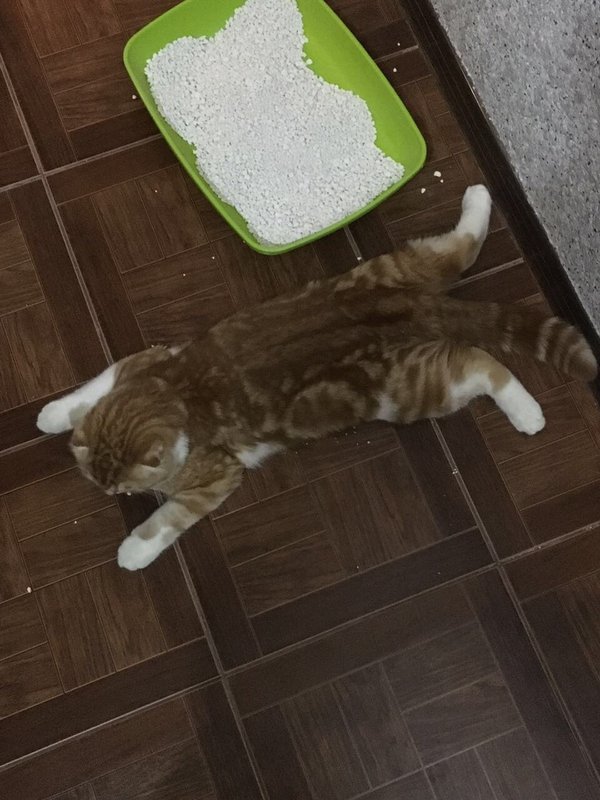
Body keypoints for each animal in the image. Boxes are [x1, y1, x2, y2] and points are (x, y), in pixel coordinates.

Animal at [37, 185, 597, 570]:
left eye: (124, 492)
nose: (110, 495)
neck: (169, 393)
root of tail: (417, 306)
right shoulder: (136, 364)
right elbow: (90, 391)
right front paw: (53, 414)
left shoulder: (215, 478)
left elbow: (167, 521)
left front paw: (133, 549)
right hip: (395, 268)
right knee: (459, 249)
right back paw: (478, 196)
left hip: (408, 389)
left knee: (482, 363)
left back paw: (528, 414)